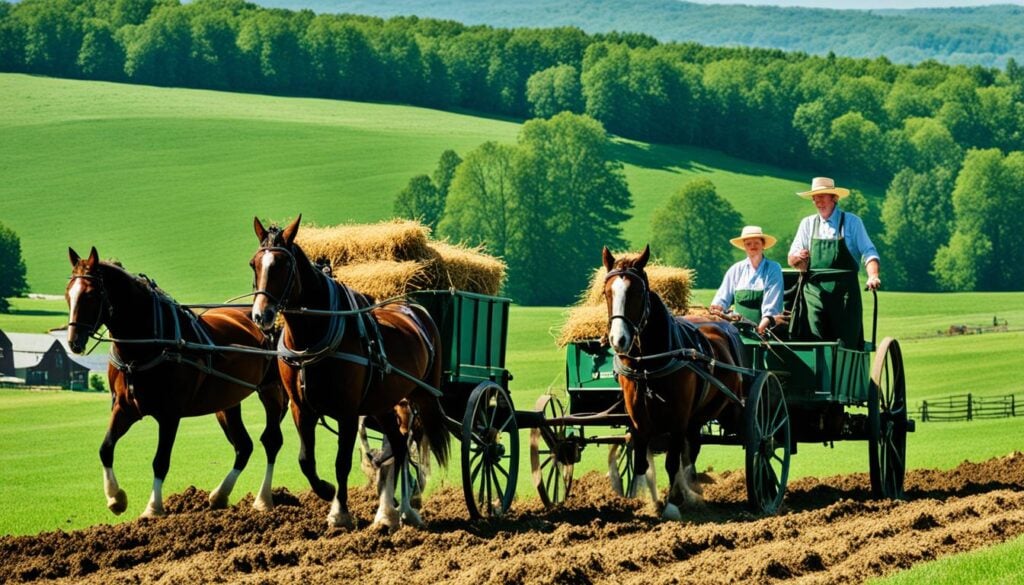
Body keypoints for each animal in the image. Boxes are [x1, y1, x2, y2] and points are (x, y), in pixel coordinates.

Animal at [64, 246, 286, 516]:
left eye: (90, 295)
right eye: (68, 294)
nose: (74, 341)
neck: (146, 345)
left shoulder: (170, 415)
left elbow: (160, 461)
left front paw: (153, 508)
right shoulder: (124, 408)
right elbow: (105, 448)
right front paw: (116, 498)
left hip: (271, 391)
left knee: (271, 441)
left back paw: (263, 500)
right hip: (227, 402)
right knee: (244, 446)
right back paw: (220, 495)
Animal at [247, 216, 448, 532]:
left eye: (283, 265)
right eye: (254, 264)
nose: (261, 316)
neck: (311, 340)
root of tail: (414, 307)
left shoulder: (348, 412)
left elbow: (342, 462)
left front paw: (339, 512)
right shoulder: (301, 408)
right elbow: (306, 460)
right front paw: (326, 491)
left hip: (420, 397)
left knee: (410, 441)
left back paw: (406, 508)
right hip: (382, 404)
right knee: (399, 445)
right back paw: (389, 514)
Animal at [598, 244, 745, 520]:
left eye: (637, 292)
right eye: (606, 292)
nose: (618, 340)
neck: (648, 363)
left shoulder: (678, 417)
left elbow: (671, 460)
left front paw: (672, 503)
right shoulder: (638, 418)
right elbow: (641, 460)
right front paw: (647, 501)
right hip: (695, 417)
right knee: (692, 448)